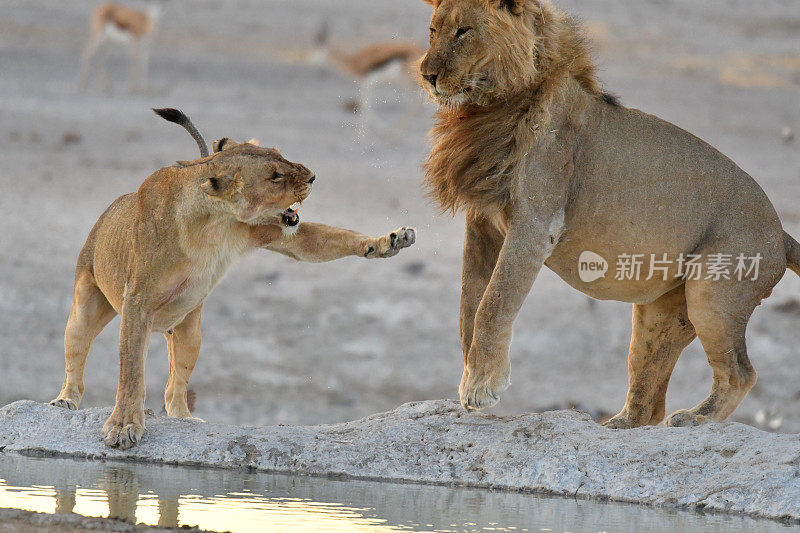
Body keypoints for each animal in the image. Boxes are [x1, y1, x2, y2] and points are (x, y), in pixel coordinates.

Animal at [51, 109, 418, 448]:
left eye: (281, 155)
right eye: (274, 176)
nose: (314, 177)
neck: (212, 222)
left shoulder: (272, 231)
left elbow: (331, 238)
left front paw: (389, 241)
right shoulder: (137, 303)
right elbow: (131, 370)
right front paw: (124, 425)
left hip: (189, 333)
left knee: (174, 387)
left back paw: (185, 419)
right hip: (85, 306)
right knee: (76, 355)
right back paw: (65, 400)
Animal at [418, 0, 800, 426]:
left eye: (464, 31)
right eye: (433, 31)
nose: (427, 75)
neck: (488, 109)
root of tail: (781, 234)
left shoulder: (536, 223)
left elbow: (493, 303)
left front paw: (481, 388)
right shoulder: (483, 223)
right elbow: (469, 305)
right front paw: (471, 379)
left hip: (714, 293)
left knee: (739, 373)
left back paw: (694, 418)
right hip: (659, 314)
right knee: (649, 401)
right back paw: (619, 425)